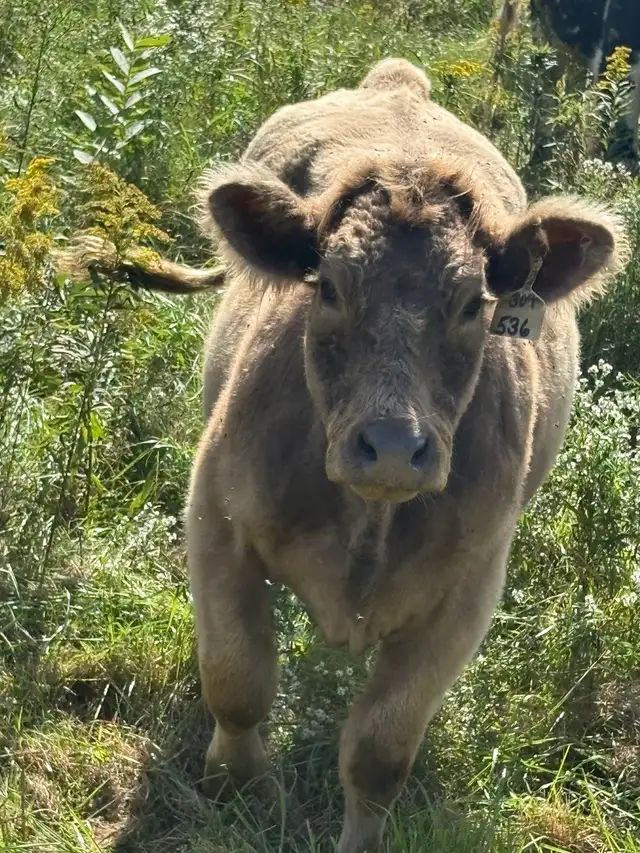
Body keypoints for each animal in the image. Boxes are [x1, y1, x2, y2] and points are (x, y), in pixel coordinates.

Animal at [62, 58, 624, 853]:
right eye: (327, 288)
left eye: (474, 305)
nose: (391, 447)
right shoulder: (216, 517)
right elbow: (237, 678)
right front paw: (235, 790)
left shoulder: (468, 590)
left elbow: (381, 748)